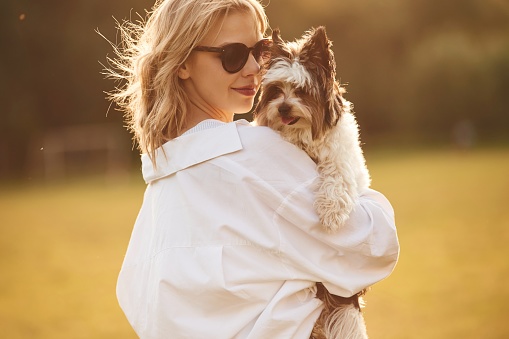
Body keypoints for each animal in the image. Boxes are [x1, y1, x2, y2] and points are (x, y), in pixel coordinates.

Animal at [254, 26, 370, 339]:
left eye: (302, 91)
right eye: (275, 90)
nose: (283, 108)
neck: (303, 135)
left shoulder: (342, 161)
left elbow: (338, 178)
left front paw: (330, 212)